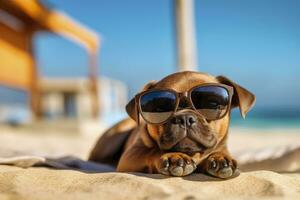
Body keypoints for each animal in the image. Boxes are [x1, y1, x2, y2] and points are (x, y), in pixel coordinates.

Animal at [89, 71, 255, 177]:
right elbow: (151, 151)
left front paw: (220, 158)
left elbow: (219, 151)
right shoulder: (131, 156)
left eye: (212, 104)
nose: (185, 118)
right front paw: (174, 157)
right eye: (160, 108)